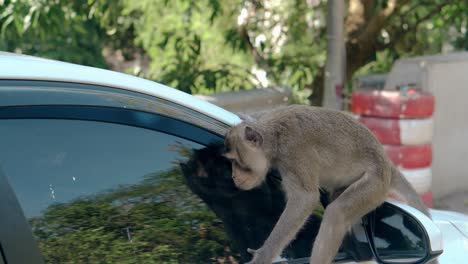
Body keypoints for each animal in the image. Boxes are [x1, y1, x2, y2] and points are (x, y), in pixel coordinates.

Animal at [224, 105, 432, 264]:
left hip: (375, 183)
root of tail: (386, 162)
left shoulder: (294, 154)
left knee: (336, 214)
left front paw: (264, 255)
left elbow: (305, 198)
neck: (275, 136)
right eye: (231, 162)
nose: (233, 175)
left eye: (237, 162)